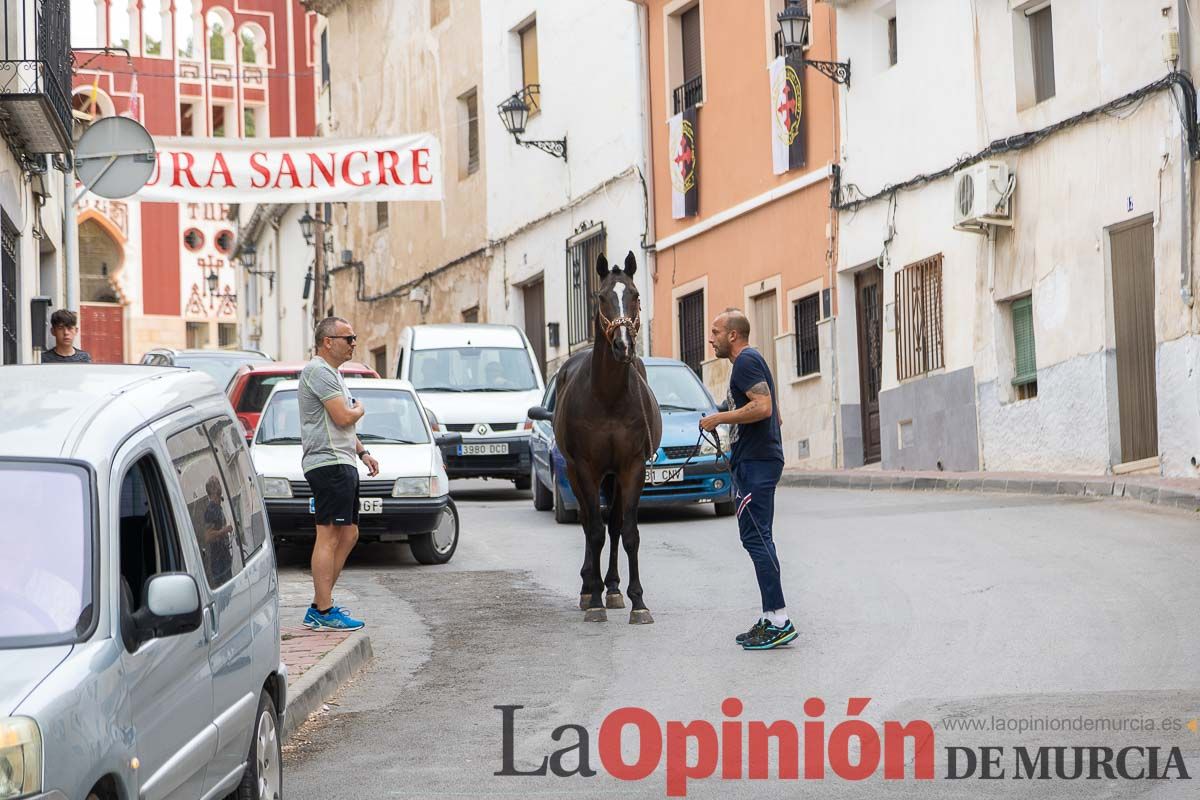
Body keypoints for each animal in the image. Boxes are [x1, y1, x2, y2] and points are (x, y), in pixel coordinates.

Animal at [549, 253, 662, 623]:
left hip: (613, 476)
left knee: (612, 525)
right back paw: (590, 588)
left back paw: (612, 588)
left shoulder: (632, 467)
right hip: (576, 472)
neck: (608, 397)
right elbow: (594, 531)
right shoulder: (586, 468)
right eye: (601, 297)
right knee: (589, 523)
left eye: (636, 295)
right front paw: (594, 599)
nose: (623, 345)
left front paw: (637, 601)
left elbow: (627, 532)